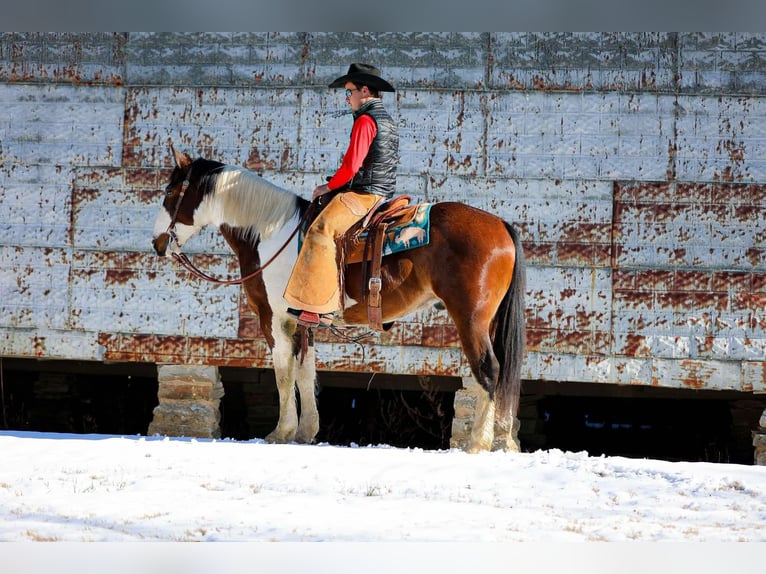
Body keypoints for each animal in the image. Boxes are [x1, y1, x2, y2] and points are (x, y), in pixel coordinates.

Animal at [151, 146, 526, 453]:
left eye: (170, 192)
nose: (157, 243)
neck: (271, 234)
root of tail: (500, 225)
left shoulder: (273, 317)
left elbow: (283, 371)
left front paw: (280, 432)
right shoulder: (301, 319)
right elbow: (305, 371)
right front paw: (305, 431)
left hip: (471, 318)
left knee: (488, 370)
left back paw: (477, 444)